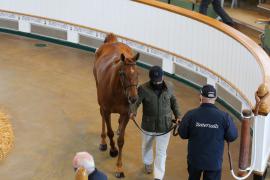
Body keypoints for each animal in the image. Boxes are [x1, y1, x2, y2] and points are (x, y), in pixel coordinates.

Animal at [93, 33, 139, 177]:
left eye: (137, 73)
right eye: (123, 73)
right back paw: (103, 142)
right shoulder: (107, 110)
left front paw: (119, 168)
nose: (133, 98)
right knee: (102, 116)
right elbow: (110, 132)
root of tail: (112, 41)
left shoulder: (126, 114)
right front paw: (113, 150)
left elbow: (121, 140)